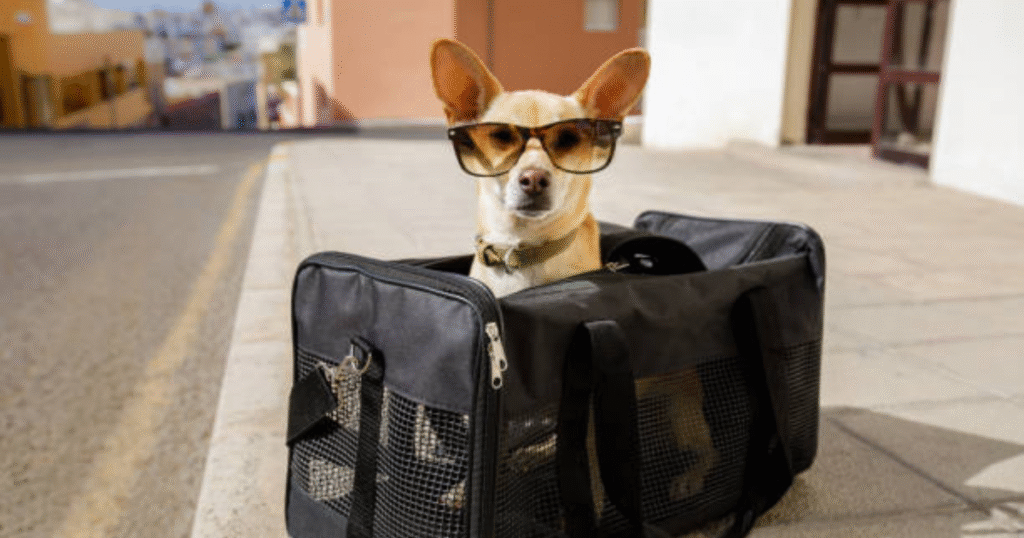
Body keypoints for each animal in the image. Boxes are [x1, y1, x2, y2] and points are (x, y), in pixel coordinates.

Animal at [429, 39, 717, 517]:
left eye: (568, 140)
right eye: (500, 136)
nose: (534, 178)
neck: (523, 256)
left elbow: (591, 462)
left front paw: (592, 507)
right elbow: (494, 445)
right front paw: (468, 489)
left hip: (681, 419)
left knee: (704, 452)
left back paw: (689, 478)